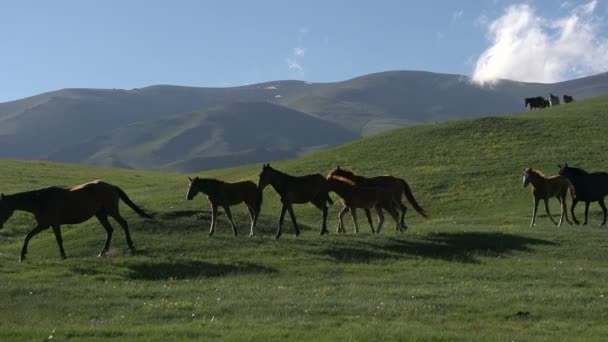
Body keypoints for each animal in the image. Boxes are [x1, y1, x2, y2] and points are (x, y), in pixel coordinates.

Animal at [0, 180, 152, 264]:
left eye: (2, 206)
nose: (0, 225)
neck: (40, 201)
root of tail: (111, 186)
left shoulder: (50, 224)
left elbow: (57, 240)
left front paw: (63, 256)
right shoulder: (45, 225)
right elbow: (29, 236)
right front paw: (23, 256)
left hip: (111, 212)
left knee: (123, 224)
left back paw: (131, 246)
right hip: (101, 214)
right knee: (110, 230)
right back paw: (102, 252)